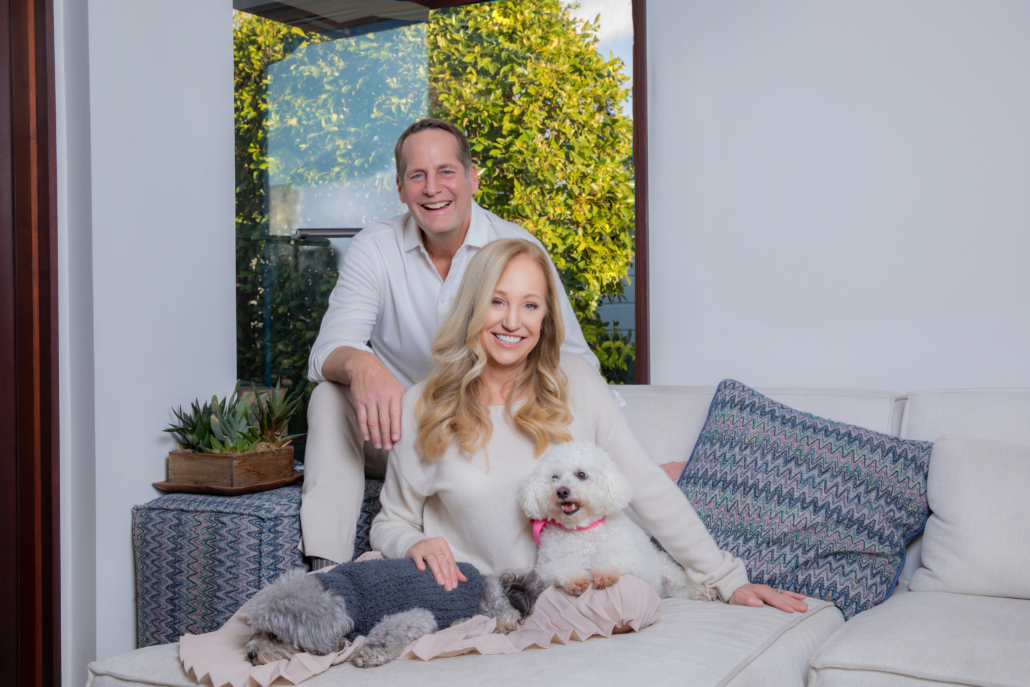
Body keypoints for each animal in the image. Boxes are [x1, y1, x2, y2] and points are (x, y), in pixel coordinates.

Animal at [246, 560, 543, 667]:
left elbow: (385, 632)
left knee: (506, 612)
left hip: (489, 595)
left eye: (274, 635)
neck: (340, 596)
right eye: (255, 630)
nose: (249, 655)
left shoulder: (416, 616)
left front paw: (369, 652)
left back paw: (500, 623)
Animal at [519, 442, 712, 597]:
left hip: (667, 569)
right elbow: (562, 566)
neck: (583, 529)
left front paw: (604, 574)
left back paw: (702, 591)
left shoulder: (634, 560)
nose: (562, 491)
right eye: (554, 477)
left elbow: (613, 557)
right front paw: (576, 579)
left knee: (683, 586)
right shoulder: (544, 569)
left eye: (581, 475)